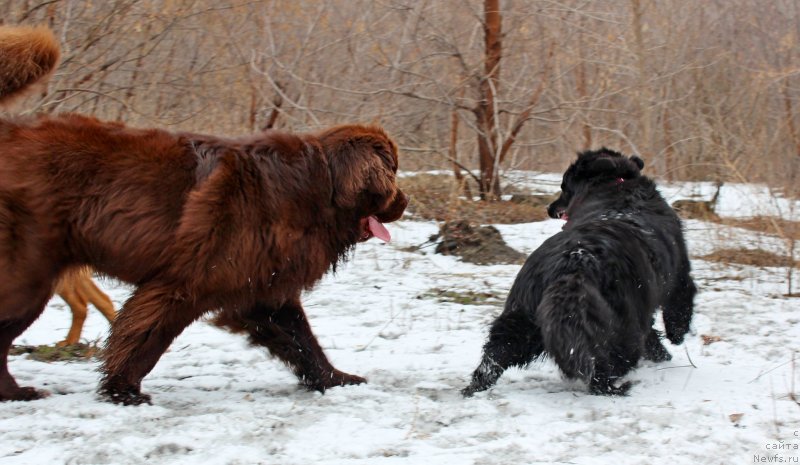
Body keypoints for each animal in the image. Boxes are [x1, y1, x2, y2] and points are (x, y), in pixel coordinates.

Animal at [0, 25, 406, 404]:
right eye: (393, 171)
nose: (404, 201)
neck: (319, 188)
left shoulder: (262, 288)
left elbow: (303, 341)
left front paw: (336, 379)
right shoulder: (183, 284)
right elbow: (144, 340)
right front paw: (123, 391)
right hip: (28, 276)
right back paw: (17, 392)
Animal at [462, 149, 692, 396]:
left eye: (564, 186)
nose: (550, 209)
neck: (616, 184)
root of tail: (574, 263)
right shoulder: (680, 275)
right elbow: (679, 305)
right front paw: (674, 340)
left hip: (520, 314)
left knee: (494, 356)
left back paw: (474, 389)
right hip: (625, 323)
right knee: (611, 362)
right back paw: (611, 386)